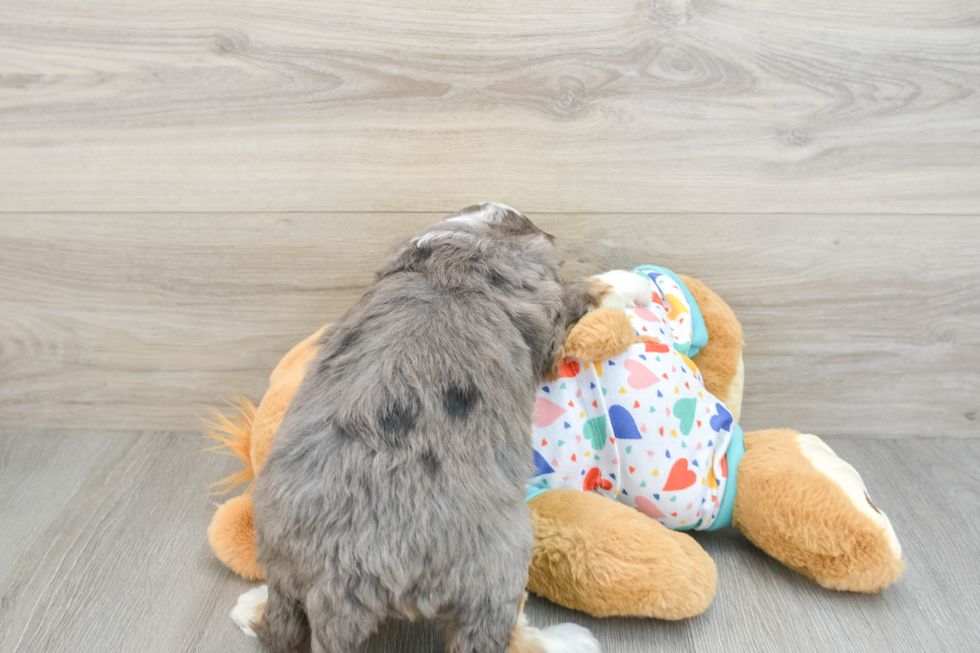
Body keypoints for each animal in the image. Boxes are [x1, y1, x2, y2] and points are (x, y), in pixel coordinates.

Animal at [238, 201, 608, 648]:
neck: (466, 245)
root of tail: (336, 582)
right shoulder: (545, 310)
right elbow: (569, 298)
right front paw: (607, 287)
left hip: (282, 566)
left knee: (280, 625)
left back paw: (251, 606)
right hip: (499, 568)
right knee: (496, 634)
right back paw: (568, 639)